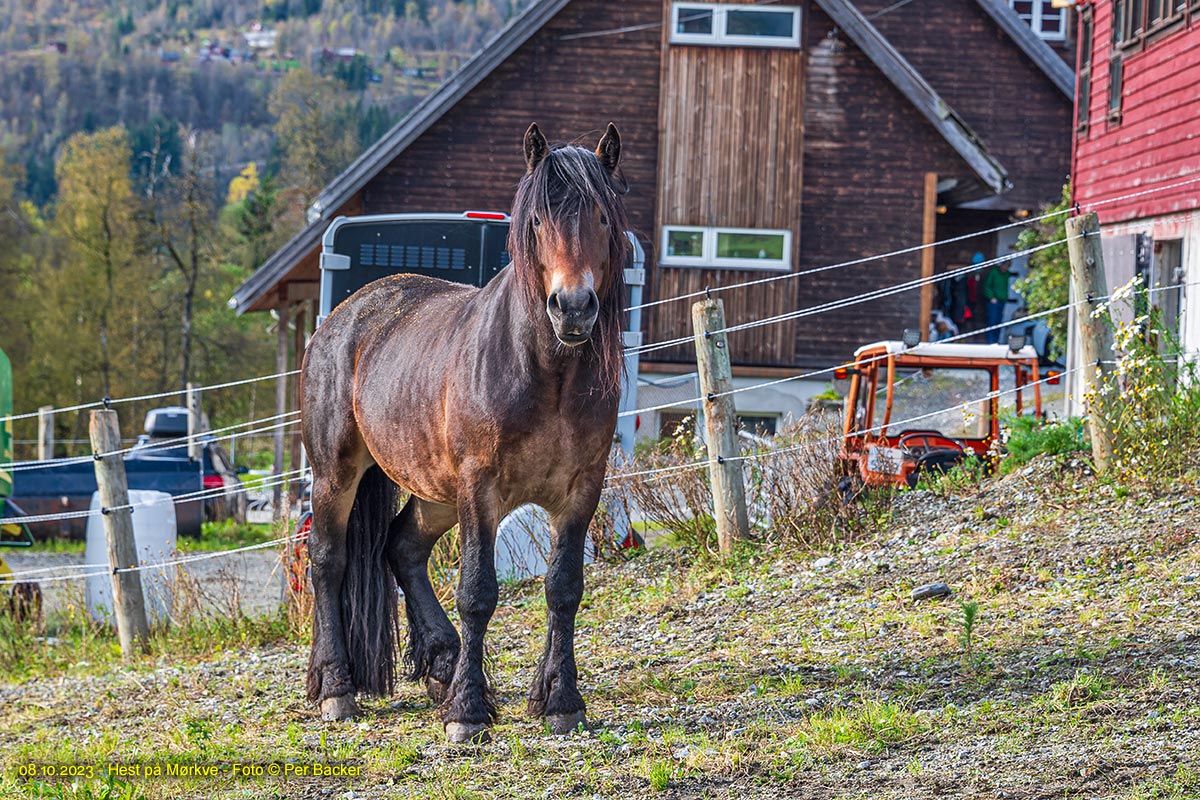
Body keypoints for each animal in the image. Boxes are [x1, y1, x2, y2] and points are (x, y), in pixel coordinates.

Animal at [298, 122, 628, 743]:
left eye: (602, 216)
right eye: (537, 220)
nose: (573, 308)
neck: (544, 372)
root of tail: (341, 318)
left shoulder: (581, 488)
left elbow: (564, 588)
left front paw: (560, 700)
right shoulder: (481, 487)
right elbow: (477, 593)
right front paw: (468, 712)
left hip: (436, 491)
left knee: (401, 547)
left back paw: (441, 664)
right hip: (337, 473)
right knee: (328, 560)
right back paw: (337, 688)